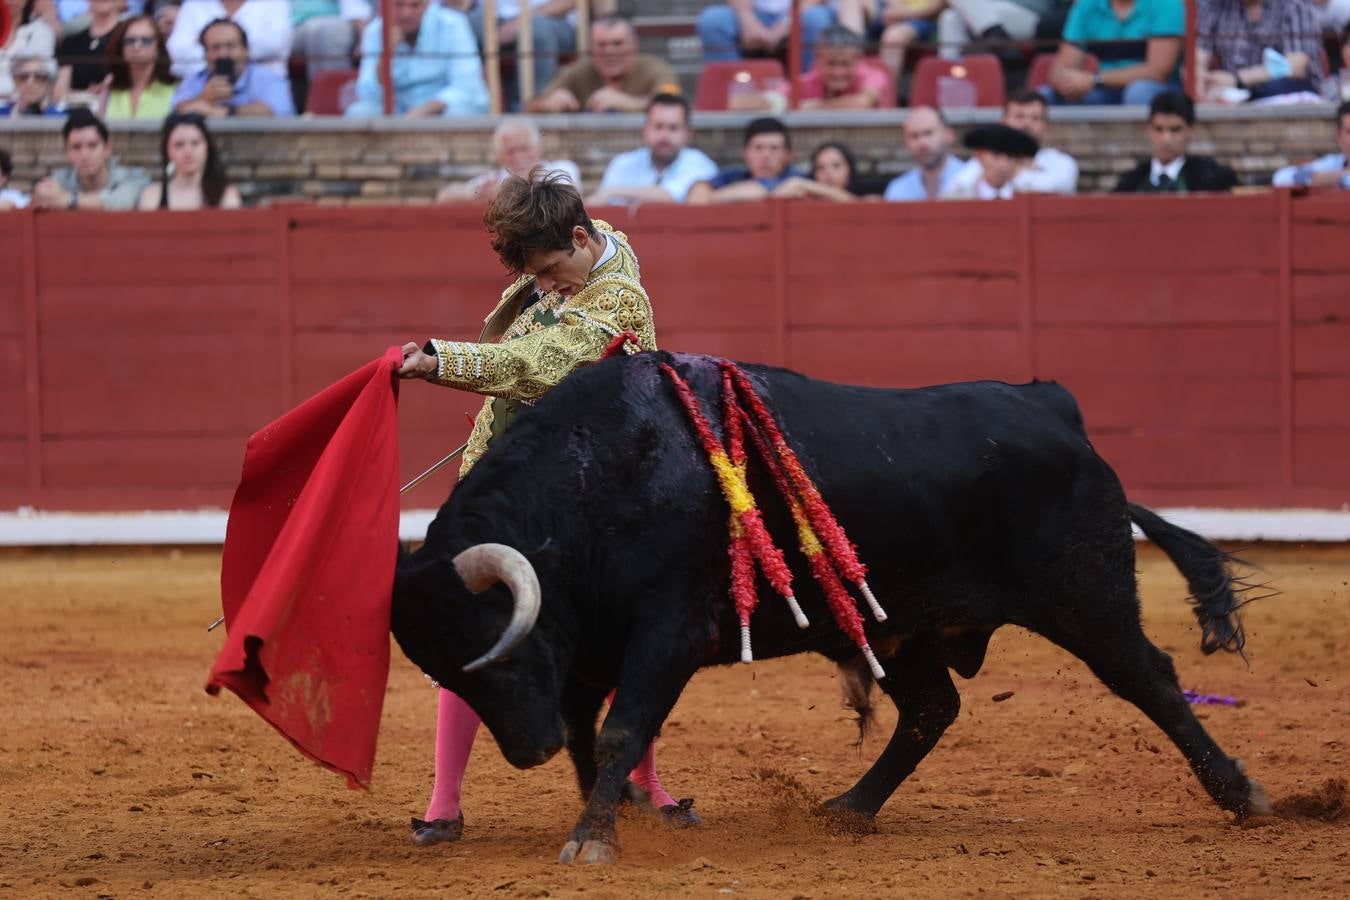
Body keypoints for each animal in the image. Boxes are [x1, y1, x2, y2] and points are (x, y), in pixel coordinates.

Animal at [388, 350, 1263, 863]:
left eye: (498, 648)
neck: (598, 475)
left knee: (1150, 678)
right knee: (931, 709)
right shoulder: (591, 646)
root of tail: (1054, 408)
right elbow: (587, 733)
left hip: (1088, 597)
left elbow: (618, 731)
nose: (523, 751)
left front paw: (593, 838)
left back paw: (1243, 796)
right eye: (447, 669)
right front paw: (621, 814)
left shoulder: (667, 632)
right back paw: (849, 808)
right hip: (900, 626)